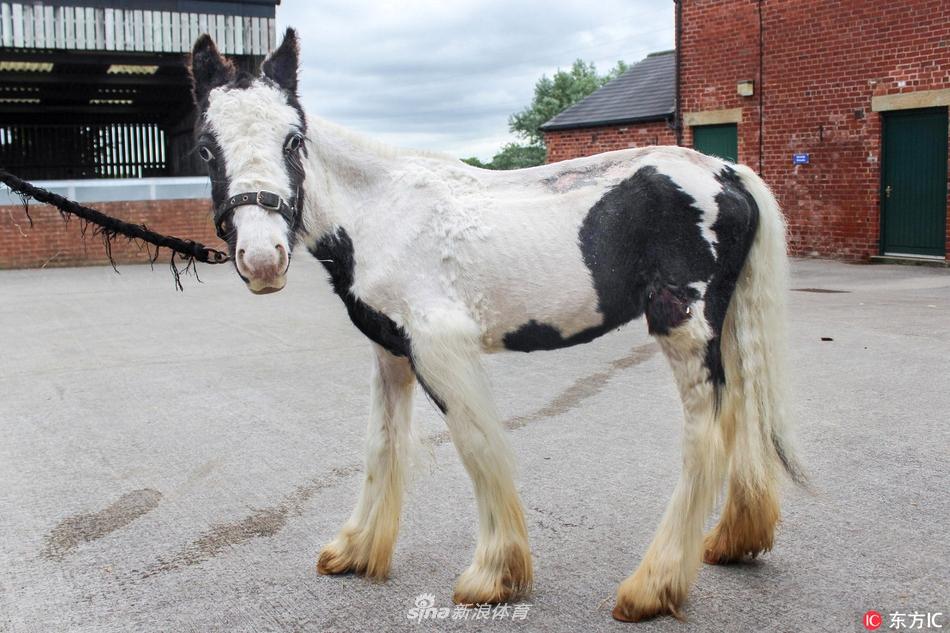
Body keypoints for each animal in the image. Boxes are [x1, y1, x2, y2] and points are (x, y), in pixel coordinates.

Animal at [190, 30, 808, 624]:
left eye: (294, 139)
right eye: (205, 148)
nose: (262, 259)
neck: (382, 212)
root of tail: (728, 172)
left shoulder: (439, 348)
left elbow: (476, 446)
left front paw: (494, 575)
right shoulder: (391, 353)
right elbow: (381, 444)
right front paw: (356, 549)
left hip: (684, 327)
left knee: (707, 434)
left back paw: (651, 588)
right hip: (726, 326)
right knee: (743, 408)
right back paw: (733, 539)